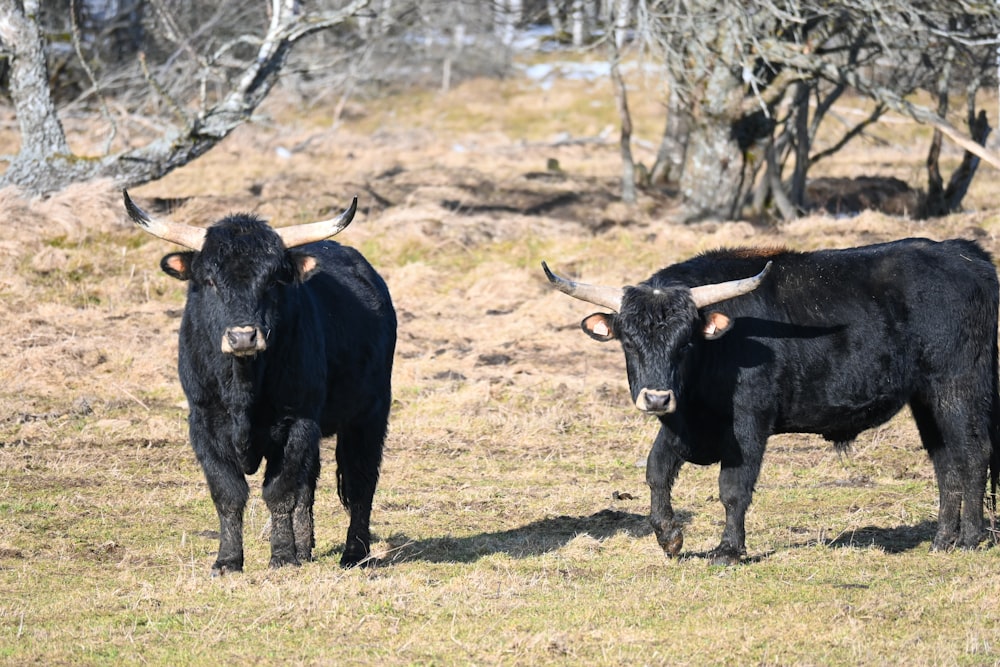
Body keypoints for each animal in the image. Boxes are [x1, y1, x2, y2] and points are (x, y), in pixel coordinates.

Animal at [122, 189, 394, 576]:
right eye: (209, 280)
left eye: (272, 281)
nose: (243, 336)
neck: (243, 388)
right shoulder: (203, 423)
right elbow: (228, 493)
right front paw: (227, 561)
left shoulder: (298, 423)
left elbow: (279, 492)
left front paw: (281, 556)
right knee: (310, 484)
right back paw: (305, 548)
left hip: (369, 414)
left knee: (360, 482)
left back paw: (354, 553)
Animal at [548, 239, 1000, 564]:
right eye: (629, 341)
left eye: (685, 341)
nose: (657, 397)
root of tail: (967, 255)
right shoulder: (682, 426)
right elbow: (656, 470)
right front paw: (669, 537)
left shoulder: (749, 424)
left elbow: (733, 488)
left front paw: (728, 551)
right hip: (927, 400)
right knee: (945, 462)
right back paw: (942, 540)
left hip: (958, 388)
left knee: (973, 454)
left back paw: (969, 539)